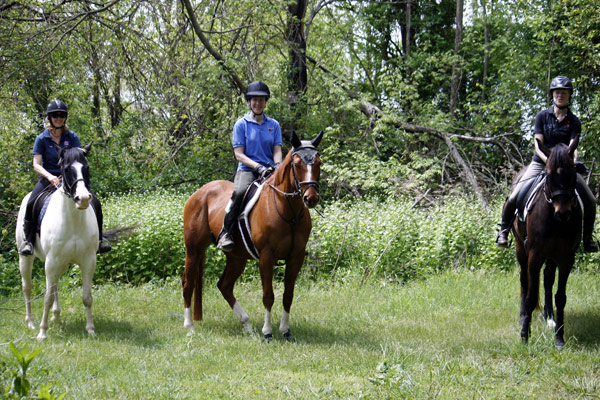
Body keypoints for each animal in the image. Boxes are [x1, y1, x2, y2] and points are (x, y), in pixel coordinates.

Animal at [15, 142, 98, 340]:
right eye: (66, 169)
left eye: (86, 167)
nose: (83, 199)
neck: (73, 221)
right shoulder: (52, 262)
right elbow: (47, 297)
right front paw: (42, 333)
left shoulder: (88, 261)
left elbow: (87, 297)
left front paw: (90, 330)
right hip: (27, 258)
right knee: (27, 287)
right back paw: (31, 322)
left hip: (59, 263)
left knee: (55, 286)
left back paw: (56, 317)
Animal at [183, 130, 324, 340]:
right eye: (297, 164)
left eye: (318, 163)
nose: (311, 198)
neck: (288, 212)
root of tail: (200, 192)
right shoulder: (266, 256)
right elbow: (268, 296)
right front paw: (267, 333)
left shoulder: (295, 257)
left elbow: (288, 296)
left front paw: (286, 331)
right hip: (193, 250)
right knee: (188, 282)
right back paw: (189, 327)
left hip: (236, 258)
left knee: (224, 286)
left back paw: (247, 325)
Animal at [510, 140, 580, 346]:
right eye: (548, 174)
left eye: (573, 172)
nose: (563, 213)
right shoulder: (535, 256)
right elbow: (531, 295)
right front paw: (525, 336)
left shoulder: (566, 258)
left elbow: (560, 297)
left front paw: (559, 338)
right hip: (521, 249)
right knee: (524, 280)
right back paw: (523, 315)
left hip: (552, 256)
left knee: (548, 280)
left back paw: (550, 318)